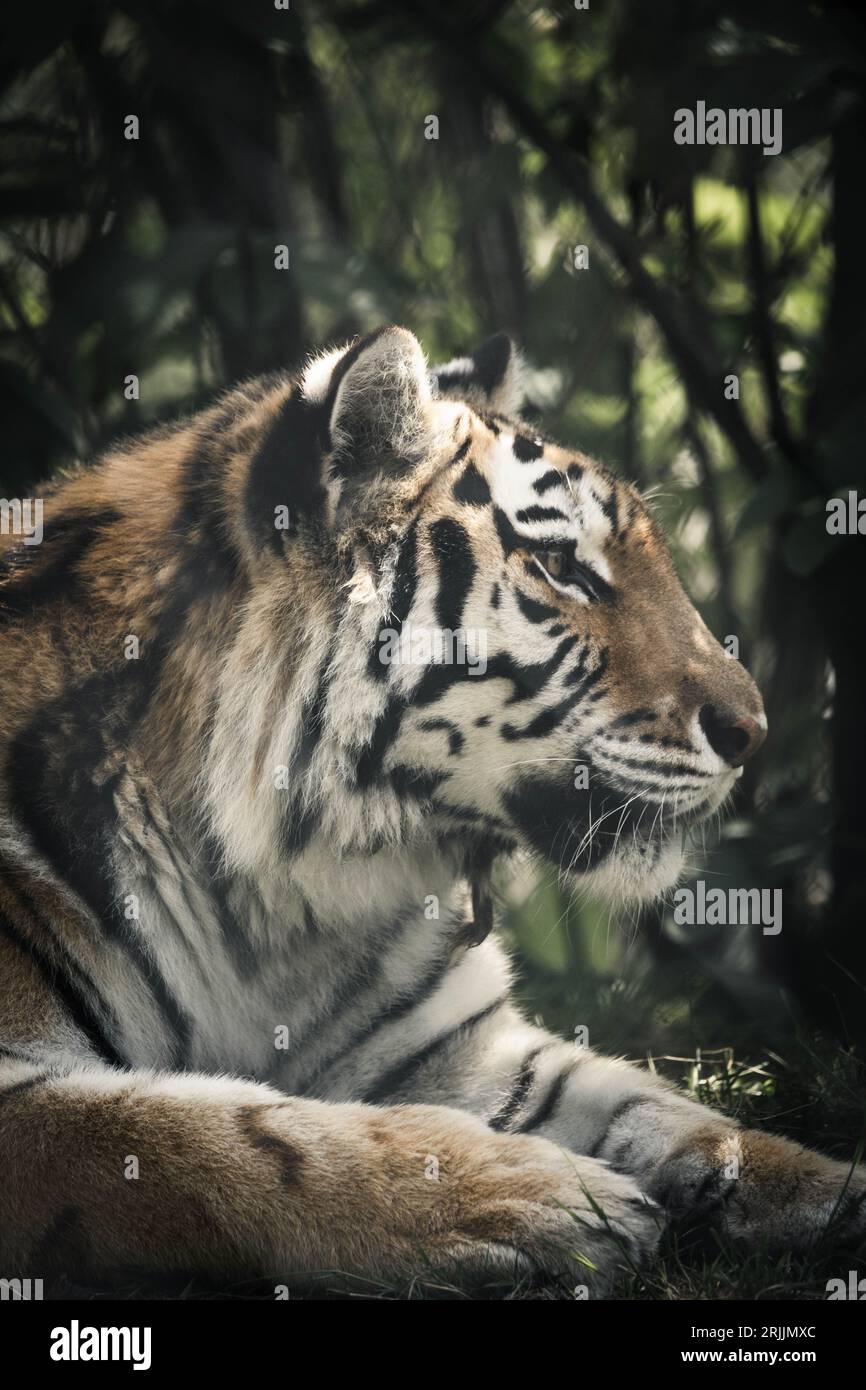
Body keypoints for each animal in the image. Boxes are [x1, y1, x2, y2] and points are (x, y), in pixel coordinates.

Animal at [0, 322, 861, 1289]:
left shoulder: (450, 1047)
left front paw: (815, 1186)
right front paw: (549, 1199)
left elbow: (650, 1101)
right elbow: (227, 1143)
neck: (285, 901)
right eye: (561, 567)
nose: (752, 731)